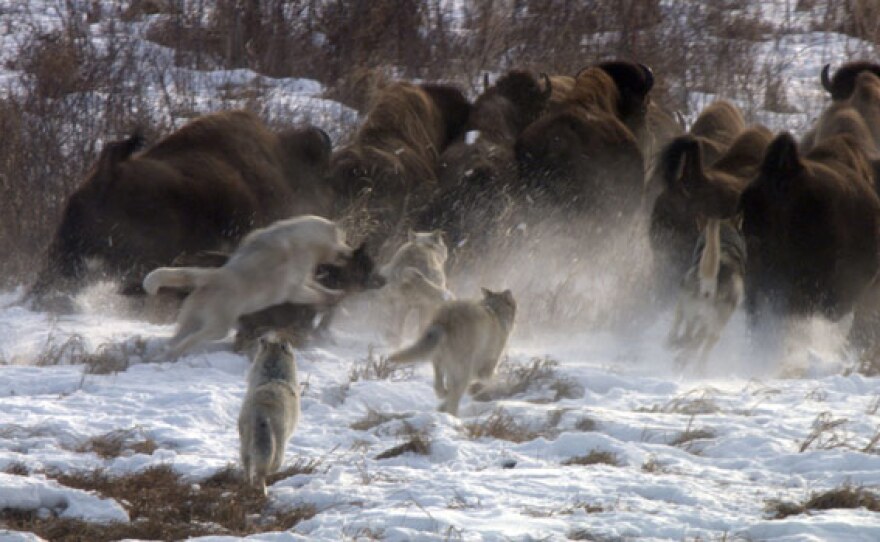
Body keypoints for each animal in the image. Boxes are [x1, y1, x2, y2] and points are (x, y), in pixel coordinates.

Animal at [143, 215, 352, 358]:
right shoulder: (294, 290)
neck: (303, 241)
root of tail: (213, 277)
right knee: (188, 342)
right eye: (342, 238)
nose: (350, 252)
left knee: (176, 339)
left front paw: (337, 296)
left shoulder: (305, 281)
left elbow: (322, 290)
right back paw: (168, 356)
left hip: (191, 321)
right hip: (217, 328)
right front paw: (330, 299)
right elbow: (317, 296)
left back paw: (157, 355)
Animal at [238, 332, 300, 495]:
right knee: (263, 471)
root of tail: (261, 412)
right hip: (278, 447)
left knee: (247, 465)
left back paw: (248, 485)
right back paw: (263, 491)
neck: (273, 375)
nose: (262, 338)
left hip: (244, 442)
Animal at [388, 288, 517, 416]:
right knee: (454, 397)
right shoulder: (485, 369)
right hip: (463, 369)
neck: (495, 310)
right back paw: (453, 418)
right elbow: (493, 378)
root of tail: (446, 318)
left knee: (439, 387)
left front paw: (441, 407)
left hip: (439, 361)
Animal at [666, 218, 745, 373]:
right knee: (697, 344)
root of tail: (710, 287)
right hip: (715, 327)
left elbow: (678, 323)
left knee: (689, 337)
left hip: (695, 314)